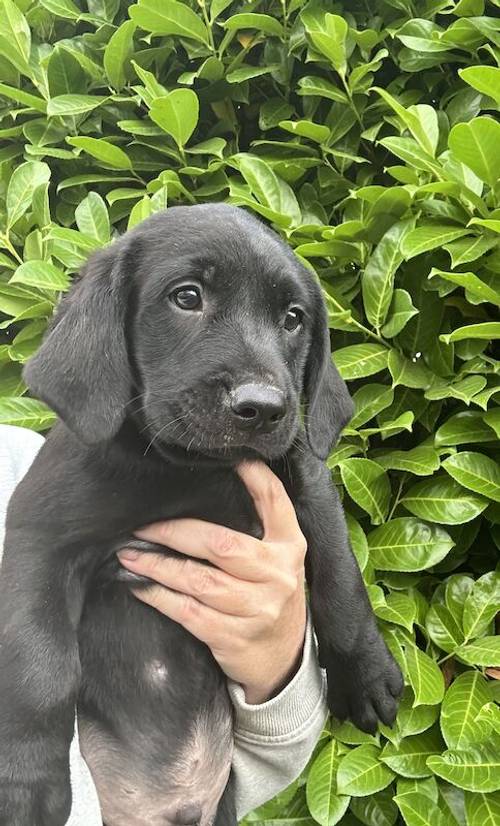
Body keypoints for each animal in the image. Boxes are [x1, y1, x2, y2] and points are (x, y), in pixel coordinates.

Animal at [0, 204, 402, 824]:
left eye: (293, 319)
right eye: (187, 297)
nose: (263, 407)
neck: (190, 470)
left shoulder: (310, 491)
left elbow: (342, 584)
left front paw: (366, 677)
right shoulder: (36, 536)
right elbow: (35, 662)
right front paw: (25, 783)